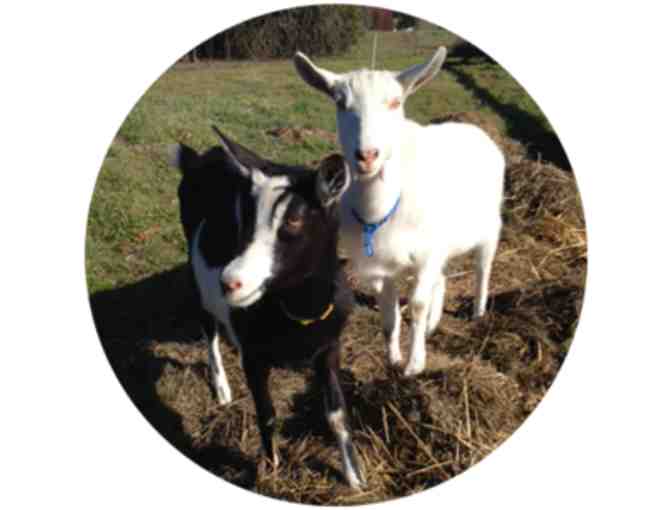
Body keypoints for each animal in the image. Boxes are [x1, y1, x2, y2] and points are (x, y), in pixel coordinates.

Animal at [172, 128, 365, 488]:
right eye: (244, 220)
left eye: (294, 220)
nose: (230, 281)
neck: (299, 314)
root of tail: (199, 159)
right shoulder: (254, 357)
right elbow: (267, 413)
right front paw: (271, 470)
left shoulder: (329, 346)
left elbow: (337, 413)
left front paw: (355, 475)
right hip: (195, 273)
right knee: (208, 328)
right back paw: (222, 387)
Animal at [294, 47, 505, 376]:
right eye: (340, 102)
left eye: (395, 102)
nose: (367, 155)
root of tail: (474, 128)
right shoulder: (384, 265)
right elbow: (388, 316)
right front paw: (393, 359)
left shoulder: (427, 254)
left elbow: (417, 306)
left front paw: (414, 366)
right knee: (441, 279)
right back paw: (433, 325)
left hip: (489, 228)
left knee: (483, 269)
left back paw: (478, 314)